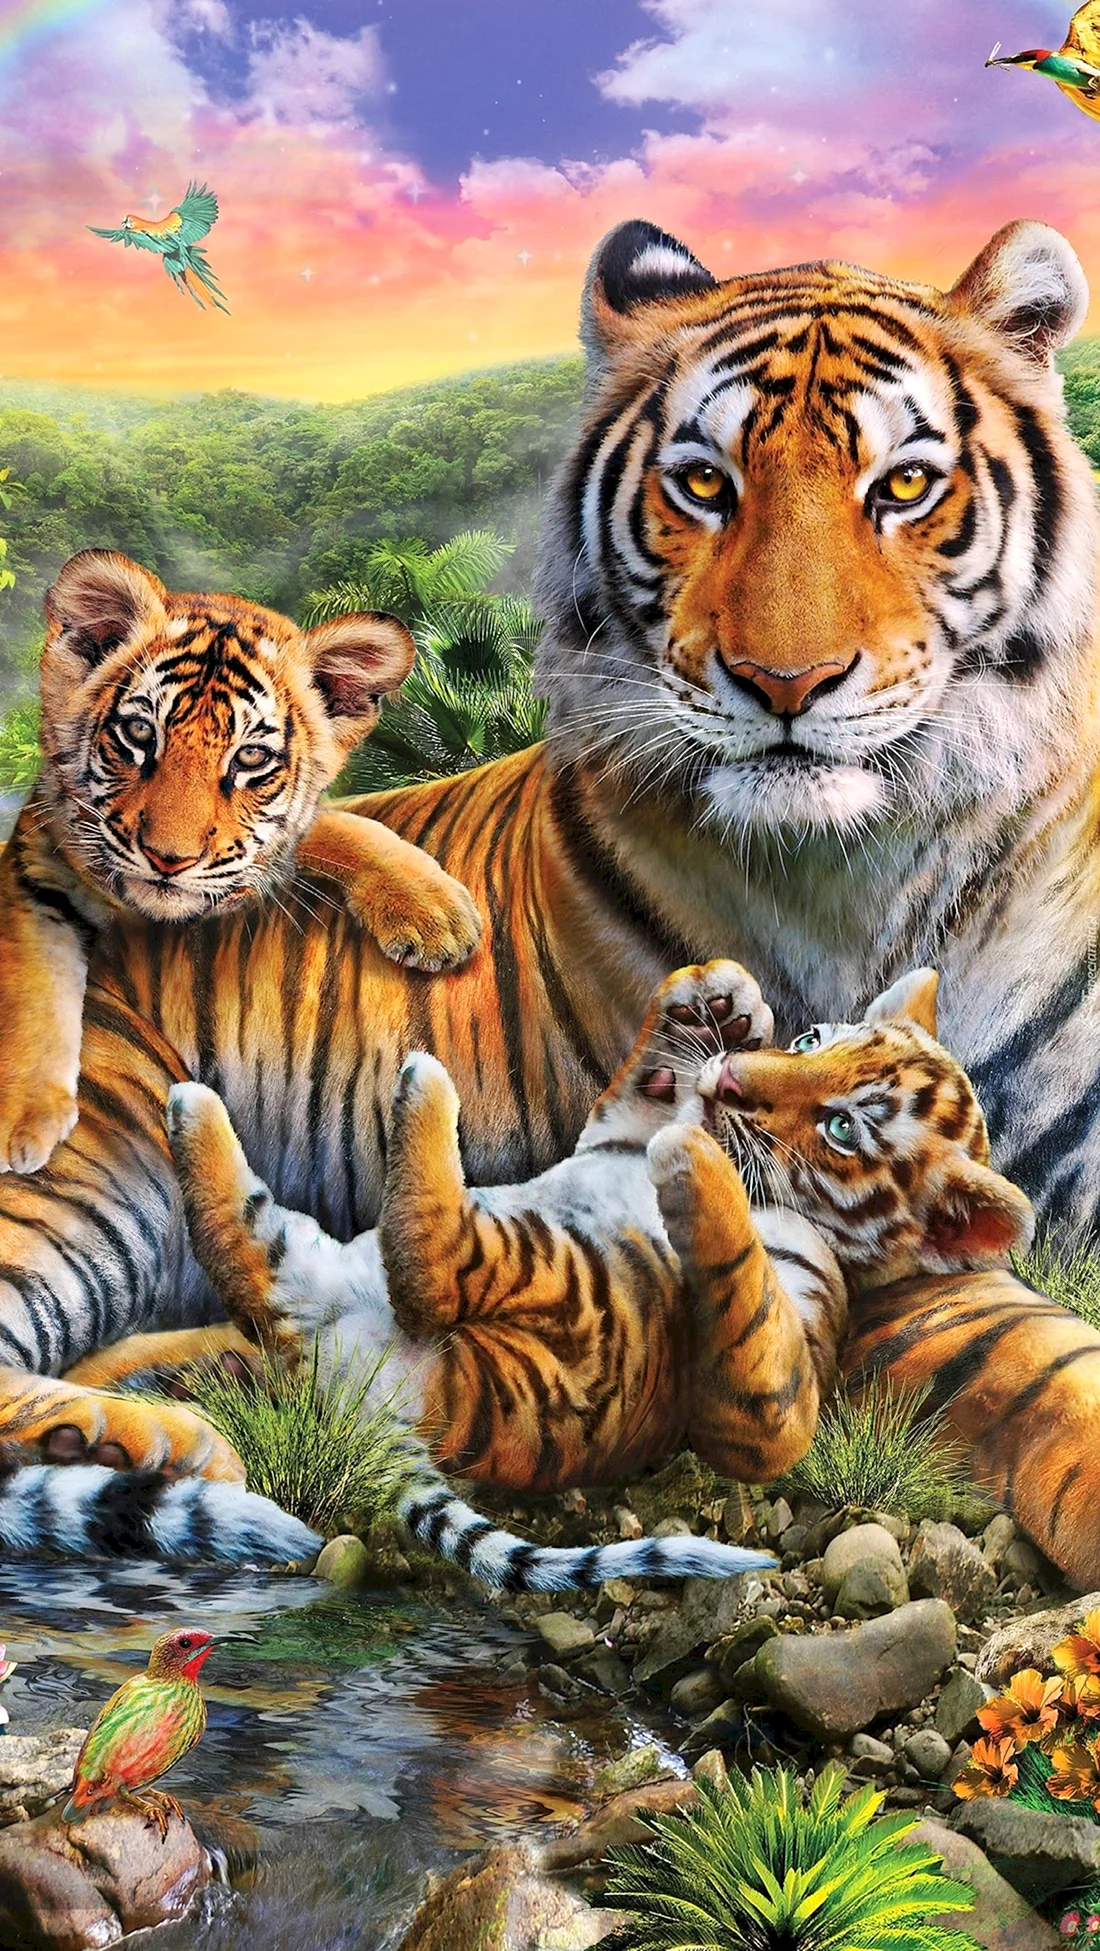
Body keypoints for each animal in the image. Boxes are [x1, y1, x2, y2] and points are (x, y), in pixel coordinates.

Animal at [0, 548, 482, 1176]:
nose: (168, 859)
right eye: (139, 732)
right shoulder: (38, 866)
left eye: (250, 757)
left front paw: (435, 911)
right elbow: (32, 984)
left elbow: (338, 826)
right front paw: (22, 1119)